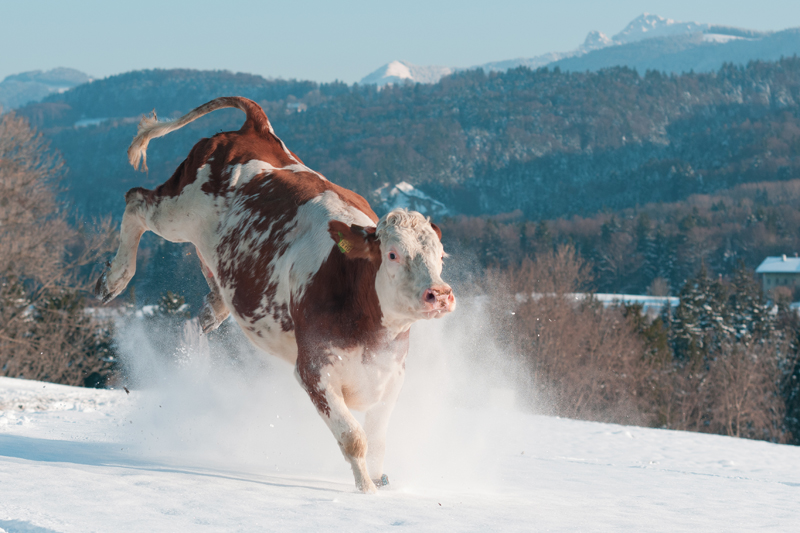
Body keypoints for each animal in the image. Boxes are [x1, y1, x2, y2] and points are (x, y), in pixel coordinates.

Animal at [94, 95, 454, 490]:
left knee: (209, 276)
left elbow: (378, 440)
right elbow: (354, 438)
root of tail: (256, 128)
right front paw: (366, 491)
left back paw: (208, 318)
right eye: (392, 254)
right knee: (136, 201)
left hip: (216, 247)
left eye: (441, 256)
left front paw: (379, 482)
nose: (439, 294)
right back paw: (114, 279)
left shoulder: (391, 376)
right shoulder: (313, 370)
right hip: (177, 210)